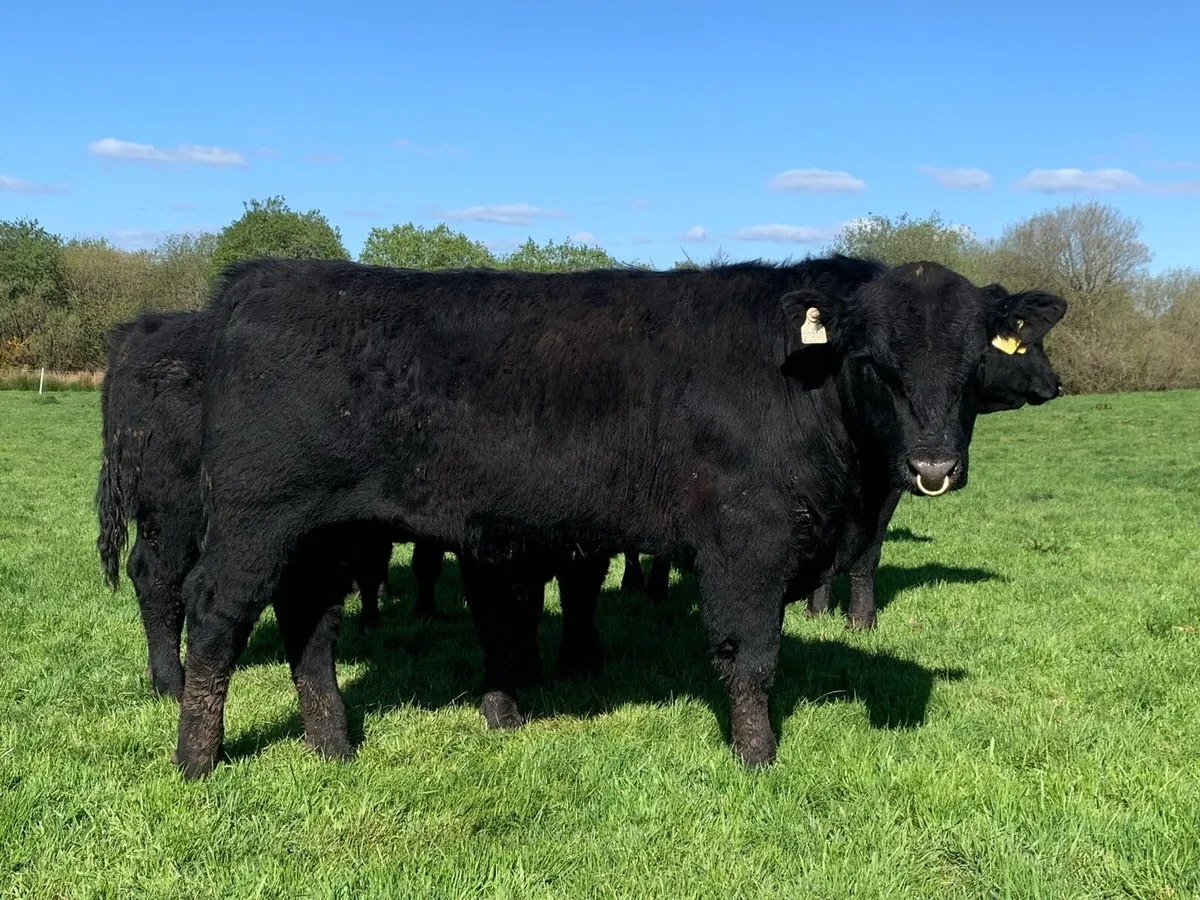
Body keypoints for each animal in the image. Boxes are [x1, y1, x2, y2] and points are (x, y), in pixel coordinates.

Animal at [95, 308, 395, 701]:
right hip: (175, 512)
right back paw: (172, 683)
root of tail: (146, 329)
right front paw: (372, 620)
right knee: (157, 578)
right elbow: (372, 570)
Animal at [170, 255, 1066, 778]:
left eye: (973, 361)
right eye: (876, 362)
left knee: (310, 625)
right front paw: (756, 758)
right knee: (214, 622)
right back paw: (197, 761)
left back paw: (332, 745)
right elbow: (752, 658)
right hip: (256, 518)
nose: (933, 468)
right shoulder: (746, 544)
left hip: (329, 531)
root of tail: (261, 278)